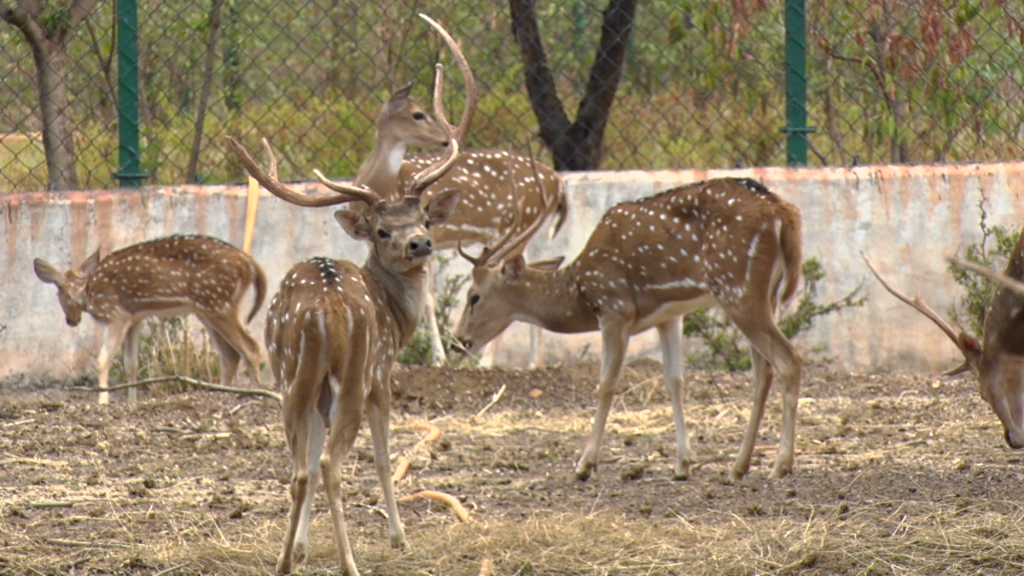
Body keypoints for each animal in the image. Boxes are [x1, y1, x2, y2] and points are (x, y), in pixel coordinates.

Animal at [35, 233, 268, 403]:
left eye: (58, 294)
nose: (71, 320)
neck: (88, 292)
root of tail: (251, 264)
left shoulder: (115, 314)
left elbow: (103, 360)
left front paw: (102, 402)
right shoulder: (134, 319)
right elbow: (131, 364)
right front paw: (132, 402)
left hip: (218, 302)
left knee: (251, 347)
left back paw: (257, 392)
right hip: (207, 309)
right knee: (231, 355)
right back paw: (222, 393)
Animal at [226, 14, 468, 573]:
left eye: (424, 219)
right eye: (382, 230)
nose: (419, 242)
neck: (396, 316)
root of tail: (327, 308)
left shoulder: (317, 390)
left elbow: (309, 467)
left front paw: (301, 546)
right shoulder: (383, 374)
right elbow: (381, 455)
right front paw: (400, 537)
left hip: (291, 376)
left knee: (301, 467)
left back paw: (285, 561)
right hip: (354, 373)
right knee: (333, 462)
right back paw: (350, 561)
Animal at [452, 176, 802, 479]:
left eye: (474, 296)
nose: (459, 340)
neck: (579, 290)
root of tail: (784, 212)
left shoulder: (614, 307)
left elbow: (606, 382)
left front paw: (584, 464)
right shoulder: (669, 315)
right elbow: (674, 380)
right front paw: (682, 464)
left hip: (737, 286)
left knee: (788, 360)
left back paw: (780, 465)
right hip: (765, 295)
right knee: (762, 371)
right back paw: (738, 467)